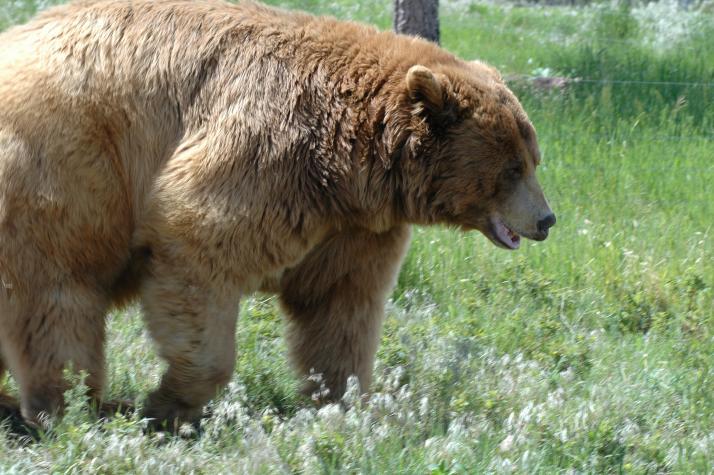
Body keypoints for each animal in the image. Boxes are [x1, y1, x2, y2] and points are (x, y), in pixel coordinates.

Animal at [0, 0, 552, 430]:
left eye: (534, 158)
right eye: (513, 166)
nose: (546, 220)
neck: (349, 168)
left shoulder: (350, 229)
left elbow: (339, 310)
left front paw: (345, 403)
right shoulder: (263, 157)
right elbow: (198, 247)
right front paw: (168, 404)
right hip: (72, 167)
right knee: (60, 295)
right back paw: (72, 405)